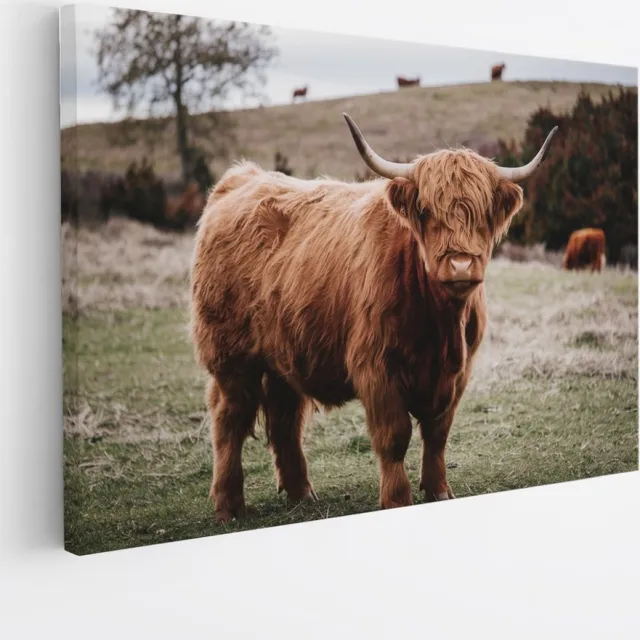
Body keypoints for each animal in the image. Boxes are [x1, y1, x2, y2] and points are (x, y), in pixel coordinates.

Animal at [189, 112, 557, 523]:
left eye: (482, 214)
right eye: (427, 212)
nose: (461, 265)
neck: (439, 326)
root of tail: (241, 178)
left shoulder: (459, 372)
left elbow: (438, 434)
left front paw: (439, 491)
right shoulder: (377, 367)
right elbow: (394, 436)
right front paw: (397, 499)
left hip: (284, 353)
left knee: (285, 419)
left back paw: (302, 493)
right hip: (232, 358)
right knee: (229, 421)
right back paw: (228, 506)